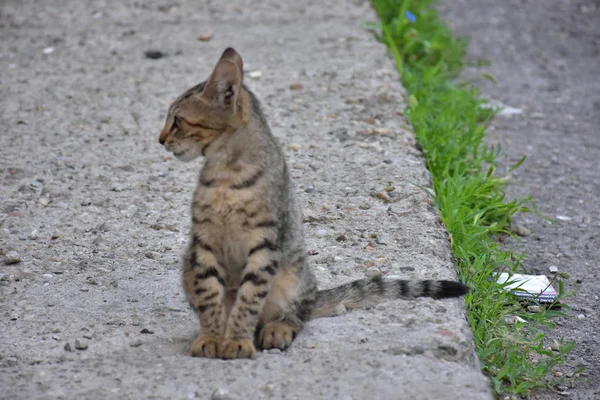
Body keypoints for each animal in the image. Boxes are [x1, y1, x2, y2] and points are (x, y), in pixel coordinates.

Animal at [157, 47, 466, 360]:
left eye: (178, 120)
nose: (160, 139)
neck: (225, 174)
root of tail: (314, 292)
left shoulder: (265, 242)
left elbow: (249, 299)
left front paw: (237, 341)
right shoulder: (204, 242)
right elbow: (210, 296)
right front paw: (211, 337)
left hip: (291, 277)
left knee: (296, 316)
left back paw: (276, 330)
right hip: (188, 266)